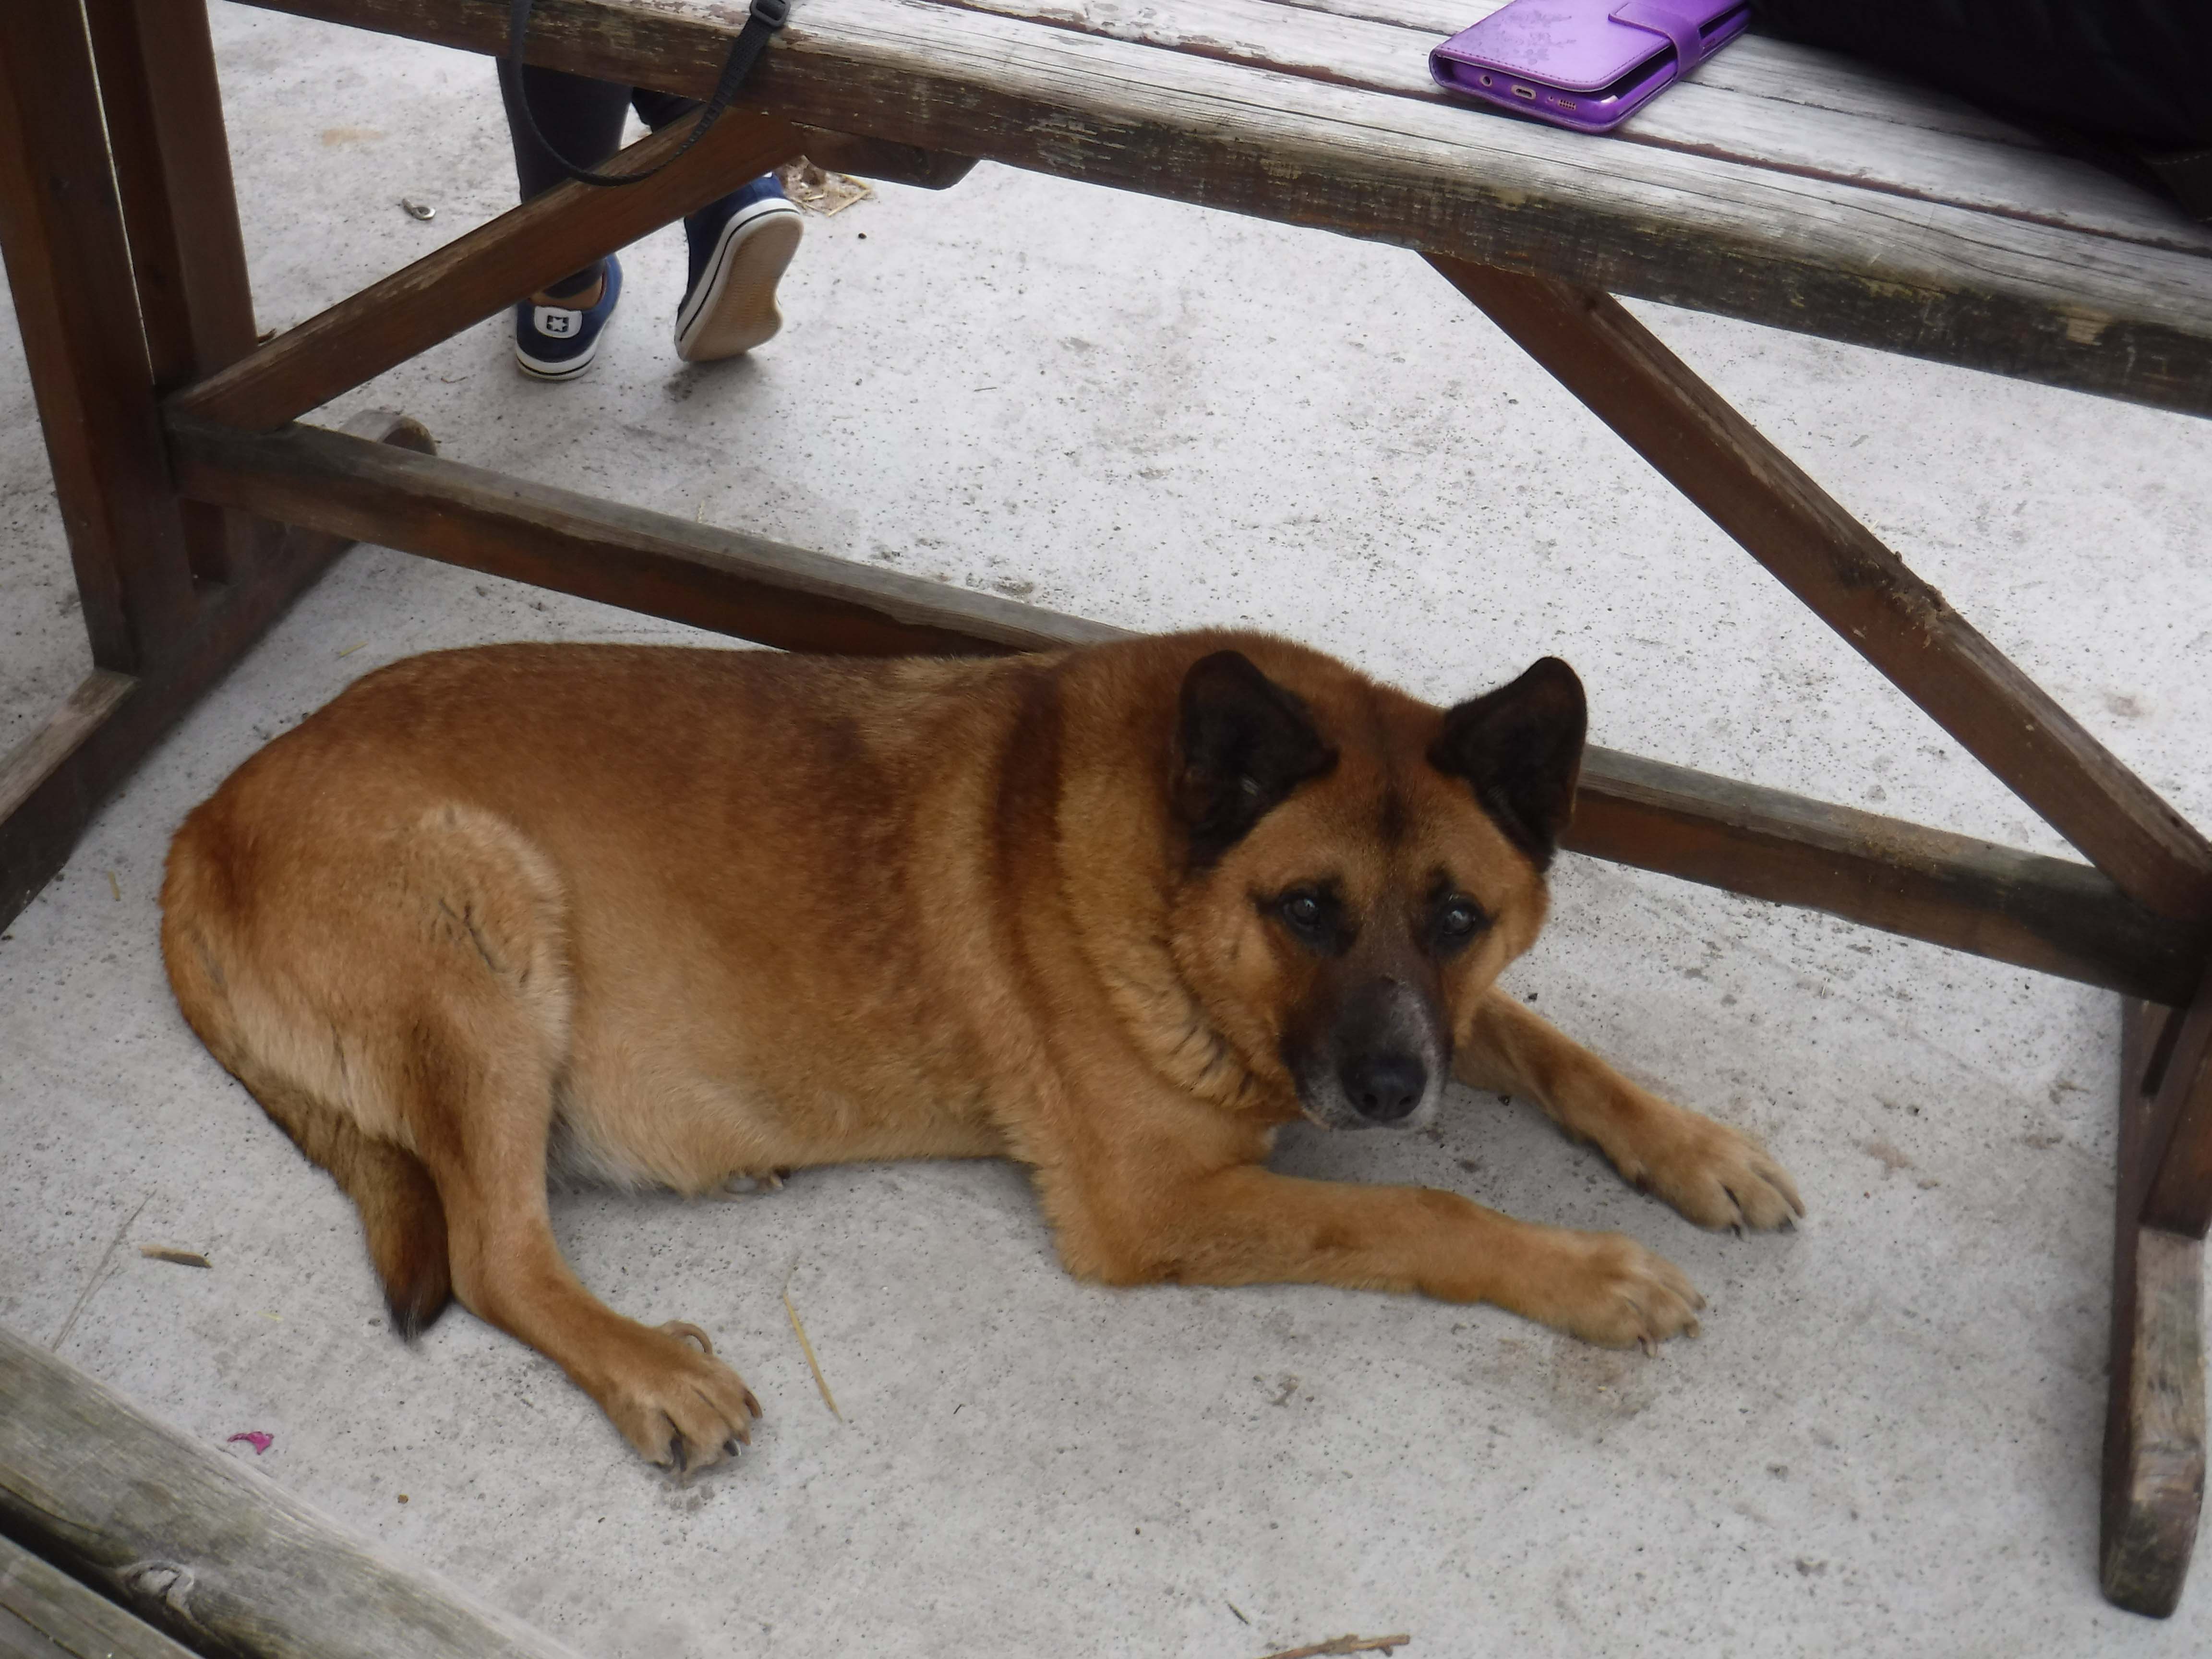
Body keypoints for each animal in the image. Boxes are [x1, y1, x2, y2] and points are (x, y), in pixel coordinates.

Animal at [161, 632, 1801, 1473]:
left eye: (1459, 915)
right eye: (1307, 911)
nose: (1394, 1090)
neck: (1171, 888)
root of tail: (204, 814)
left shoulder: (1457, 1023)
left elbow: (1548, 1044)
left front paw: (1697, 1150)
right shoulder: (1161, 1207)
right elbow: (1423, 1208)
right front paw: (1587, 1274)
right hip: (489, 924)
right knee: (498, 1254)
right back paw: (647, 1370)